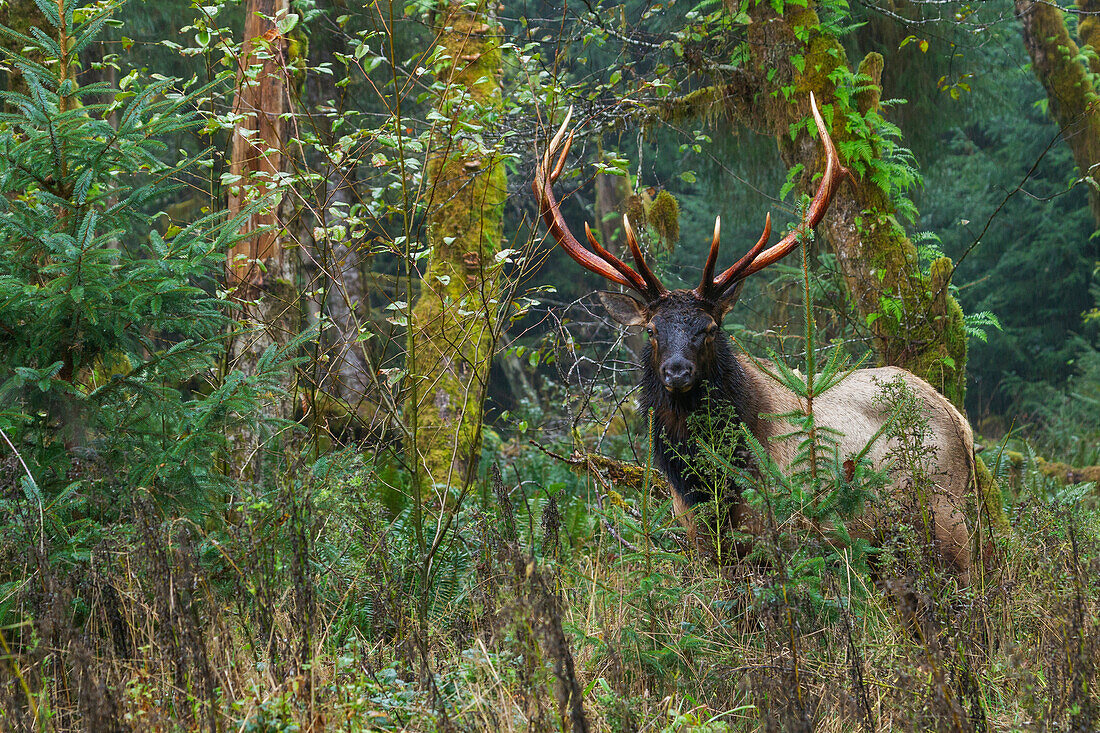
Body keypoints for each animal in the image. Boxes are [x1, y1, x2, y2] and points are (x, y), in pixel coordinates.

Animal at [536, 94, 976, 581]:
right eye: (652, 330)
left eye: (709, 329)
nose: (677, 371)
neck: (710, 485)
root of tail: (960, 421)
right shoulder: (705, 543)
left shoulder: (781, 537)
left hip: (946, 516)